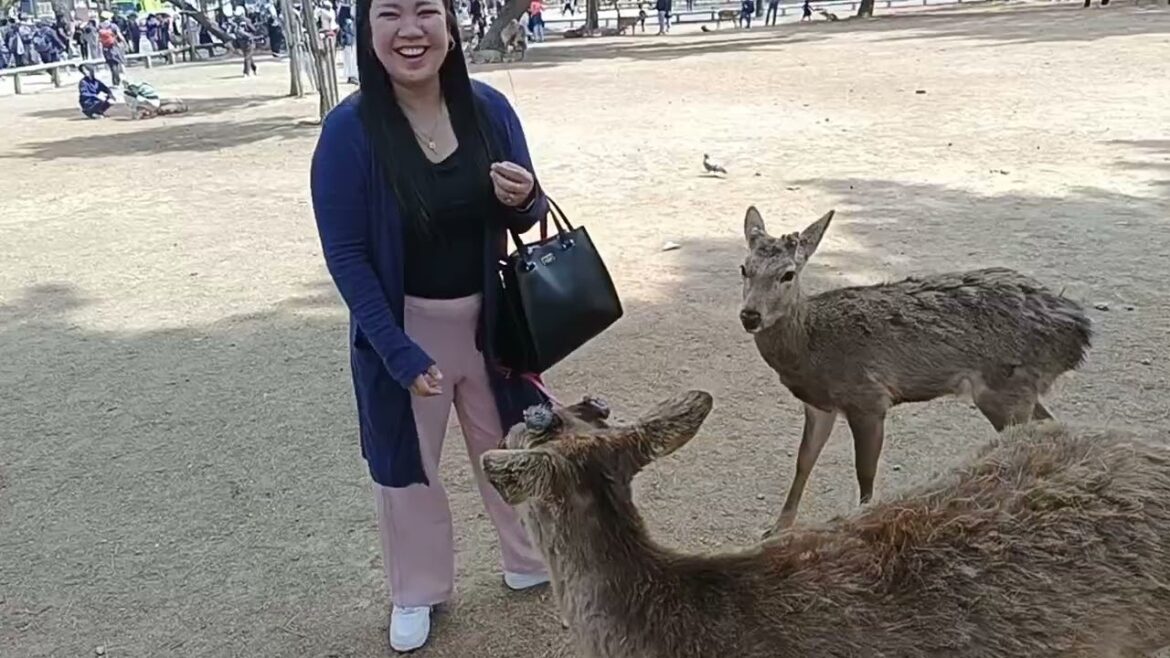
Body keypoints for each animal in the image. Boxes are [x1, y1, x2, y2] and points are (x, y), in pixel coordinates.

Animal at [738, 207, 1092, 536]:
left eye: (788, 274)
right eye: (744, 268)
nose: (750, 315)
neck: (810, 347)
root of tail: (1080, 330)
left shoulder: (869, 398)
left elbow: (865, 474)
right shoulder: (819, 406)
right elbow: (803, 461)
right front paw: (777, 528)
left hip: (1005, 391)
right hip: (1018, 390)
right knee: (1049, 424)